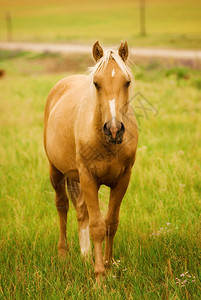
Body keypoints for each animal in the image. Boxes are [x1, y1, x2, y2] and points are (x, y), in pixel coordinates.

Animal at [43, 41, 138, 284]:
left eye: (127, 82)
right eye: (96, 83)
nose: (114, 129)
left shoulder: (122, 180)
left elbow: (111, 223)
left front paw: (109, 265)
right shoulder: (88, 178)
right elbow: (97, 226)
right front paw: (99, 277)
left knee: (81, 211)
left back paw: (85, 255)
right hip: (56, 171)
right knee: (62, 206)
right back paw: (64, 254)